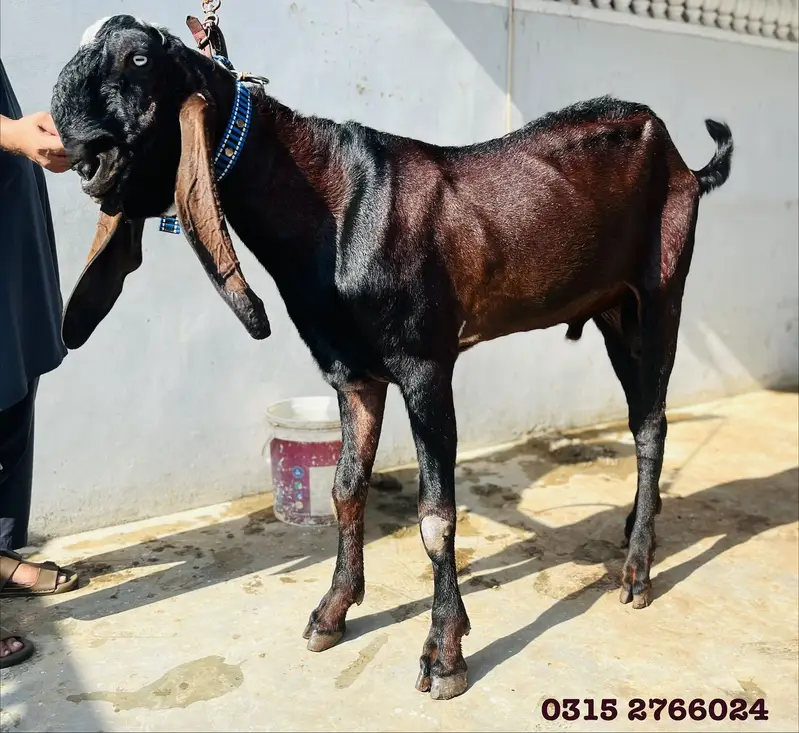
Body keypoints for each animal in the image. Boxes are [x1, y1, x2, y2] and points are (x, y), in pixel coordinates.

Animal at [51, 15, 733, 700]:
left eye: (139, 59)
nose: (82, 150)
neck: (334, 208)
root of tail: (683, 163)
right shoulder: (352, 373)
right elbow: (345, 488)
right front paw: (332, 611)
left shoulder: (425, 364)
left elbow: (436, 515)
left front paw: (444, 653)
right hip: (614, 312)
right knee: (644, 418)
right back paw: (636, 528)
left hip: (659, 297)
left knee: (651, 426)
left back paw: (637, 570)